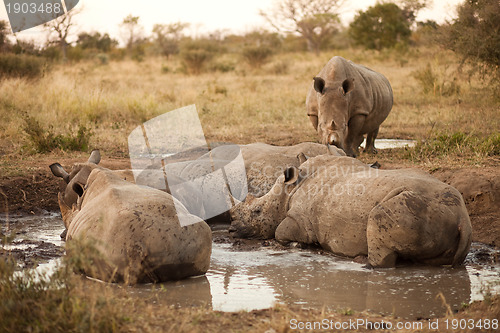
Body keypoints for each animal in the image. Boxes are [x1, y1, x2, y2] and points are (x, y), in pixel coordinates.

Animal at [230, 154, 472, 268]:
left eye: (257, 212)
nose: (231, 230)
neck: (290, 189)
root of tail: (461, 217)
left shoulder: (300, 222)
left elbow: (280, 231)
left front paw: (299, 246)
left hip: (413, 206)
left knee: (378, 216)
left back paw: (362, 264)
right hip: (438, 210)